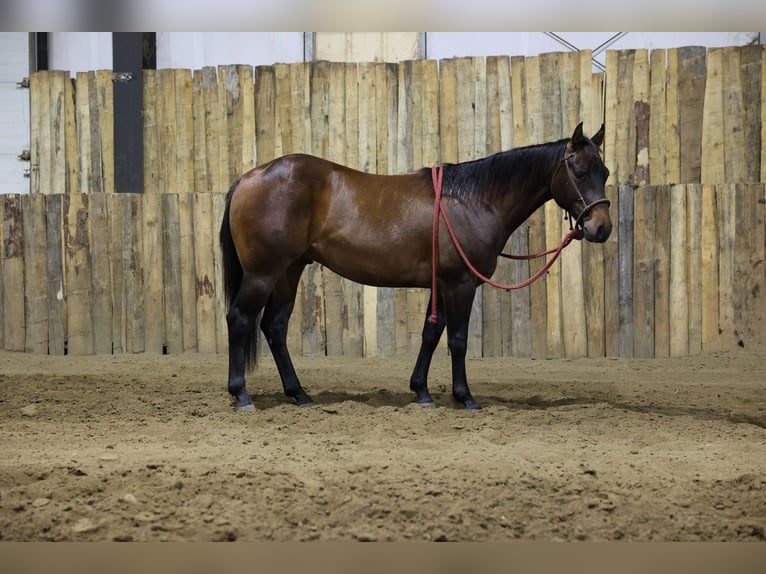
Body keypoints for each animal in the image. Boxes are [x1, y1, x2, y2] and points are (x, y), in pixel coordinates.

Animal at [219, 122, 611, 412]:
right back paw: (242, 395)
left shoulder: (442, 284)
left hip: (289, 271)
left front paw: (421, 392)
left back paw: (299, 394)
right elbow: (457, 340)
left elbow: (431, 334)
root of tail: (246, 179)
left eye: (605, 171)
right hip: (263, 273)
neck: (473, 200)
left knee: (275, 327)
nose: (601, 228)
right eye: (579, 171)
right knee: (240, 319)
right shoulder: (460, 284)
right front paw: (465, 397)